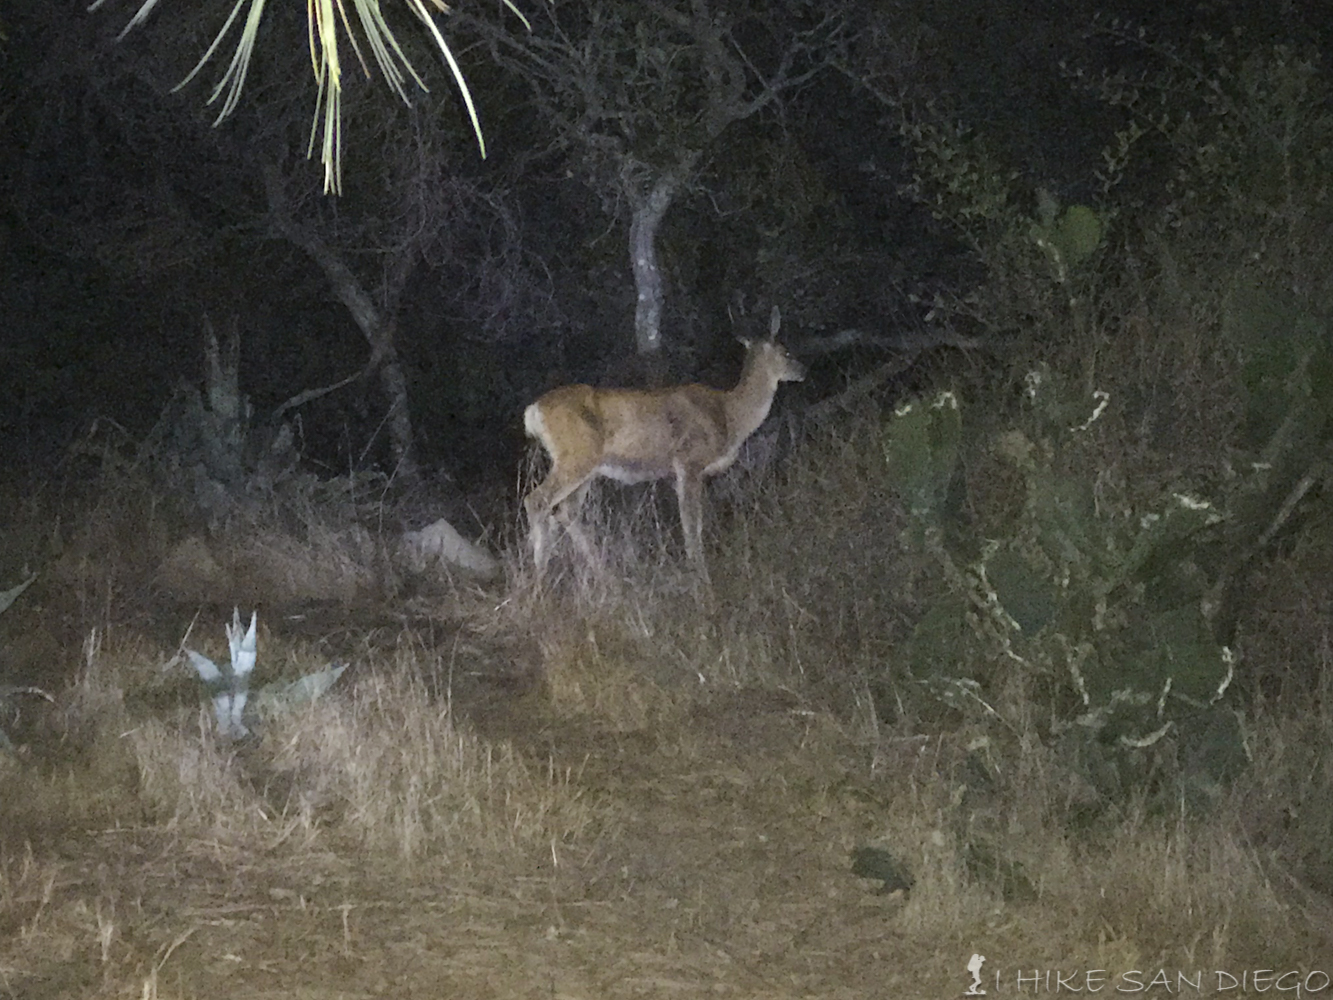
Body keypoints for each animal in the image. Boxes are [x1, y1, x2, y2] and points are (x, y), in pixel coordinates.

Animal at [525, 309, 805, 584]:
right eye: (786, 352)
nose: (803, 370)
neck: (730, 415)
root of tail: (534, 411)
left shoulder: (678, 473)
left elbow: (691, 522)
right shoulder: (690, 460)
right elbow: (692, 525)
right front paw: (701, 578)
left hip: (587, 468)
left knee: (565, 511)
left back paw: (601, 574)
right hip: (576, 456)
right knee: (537, 500)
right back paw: (540, 577)